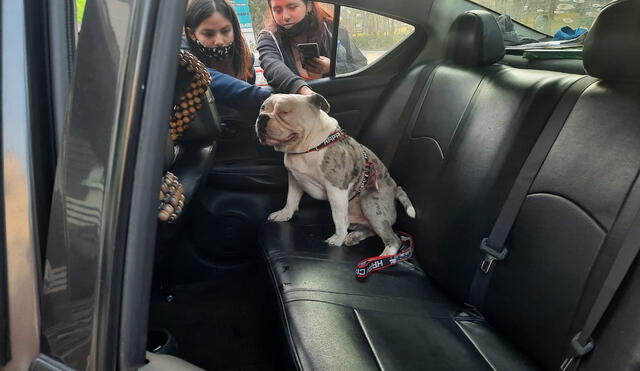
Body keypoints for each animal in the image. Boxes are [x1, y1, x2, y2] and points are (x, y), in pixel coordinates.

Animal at [256, 93, 416, 256]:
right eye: (262, 108)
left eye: (284, 112)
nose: (262, 117)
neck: (309, 148)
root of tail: (395, 188)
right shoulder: (294, 178)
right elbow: (291, 199)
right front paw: (284, 214)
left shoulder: (336, 190)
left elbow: (338, 218)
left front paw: (338, 238)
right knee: (370, 230)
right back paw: (354, 236)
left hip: (371, 203)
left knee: (393, 238)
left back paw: (385, 254)